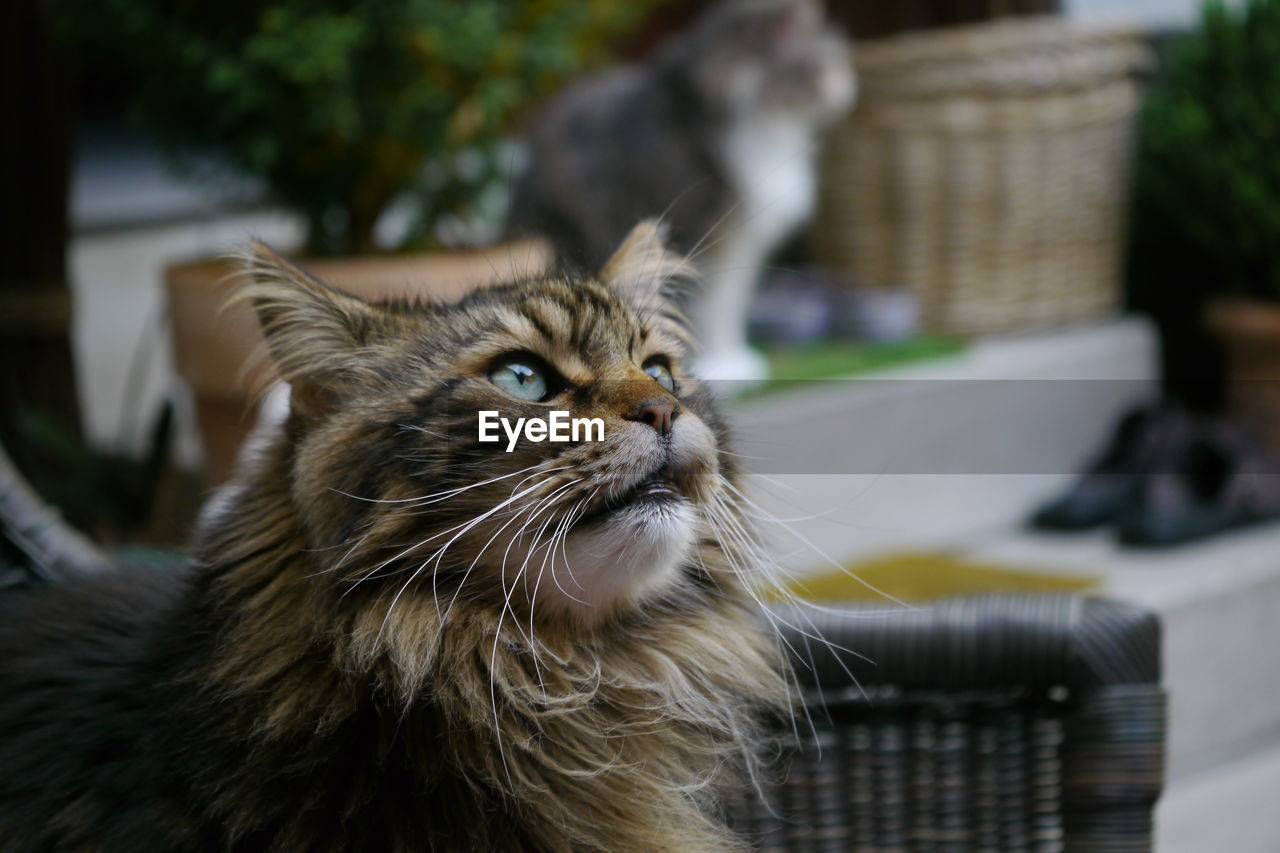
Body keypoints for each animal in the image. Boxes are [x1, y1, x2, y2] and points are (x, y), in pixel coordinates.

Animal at [504, 0, 855, 379]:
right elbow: (702, 305)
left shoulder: (741, 240)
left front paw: (733, 358)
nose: (850, 87)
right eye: (829, 60)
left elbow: (729, 301)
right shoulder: (701, 232)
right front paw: (715, 365)